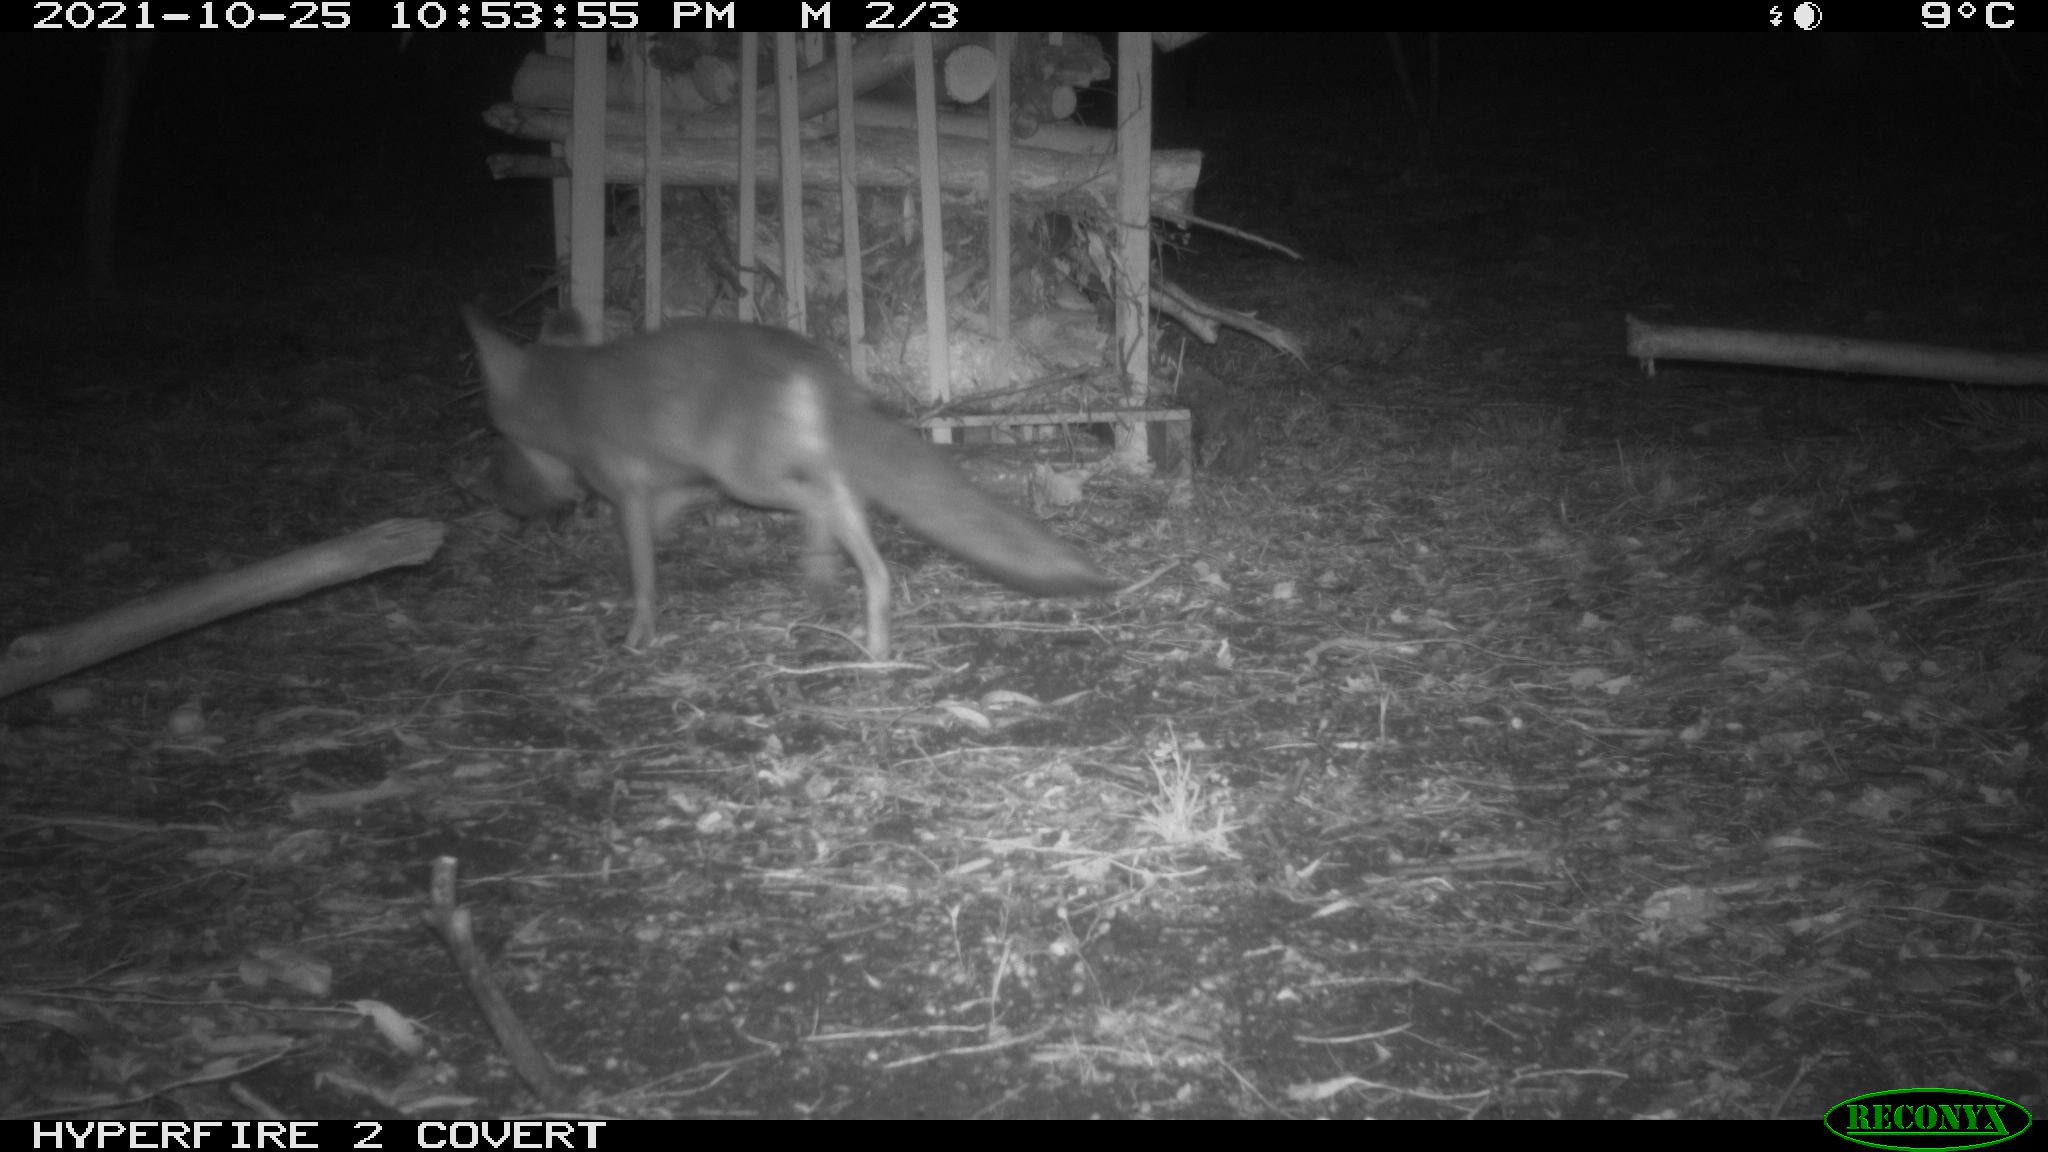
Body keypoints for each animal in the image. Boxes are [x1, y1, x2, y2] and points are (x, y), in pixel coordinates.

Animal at [460, 305, 1122, 660]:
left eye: (497, 443)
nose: (490, 494)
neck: (572, 394)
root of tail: (812, 361)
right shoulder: (677, 485)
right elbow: (661, 531)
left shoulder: (629, 492)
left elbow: (644, 577)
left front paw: (636, 634)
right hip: (781, 471)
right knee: (854, 525)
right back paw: (860, 620)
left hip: (751, 479)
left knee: (826, 503)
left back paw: (833, 589)